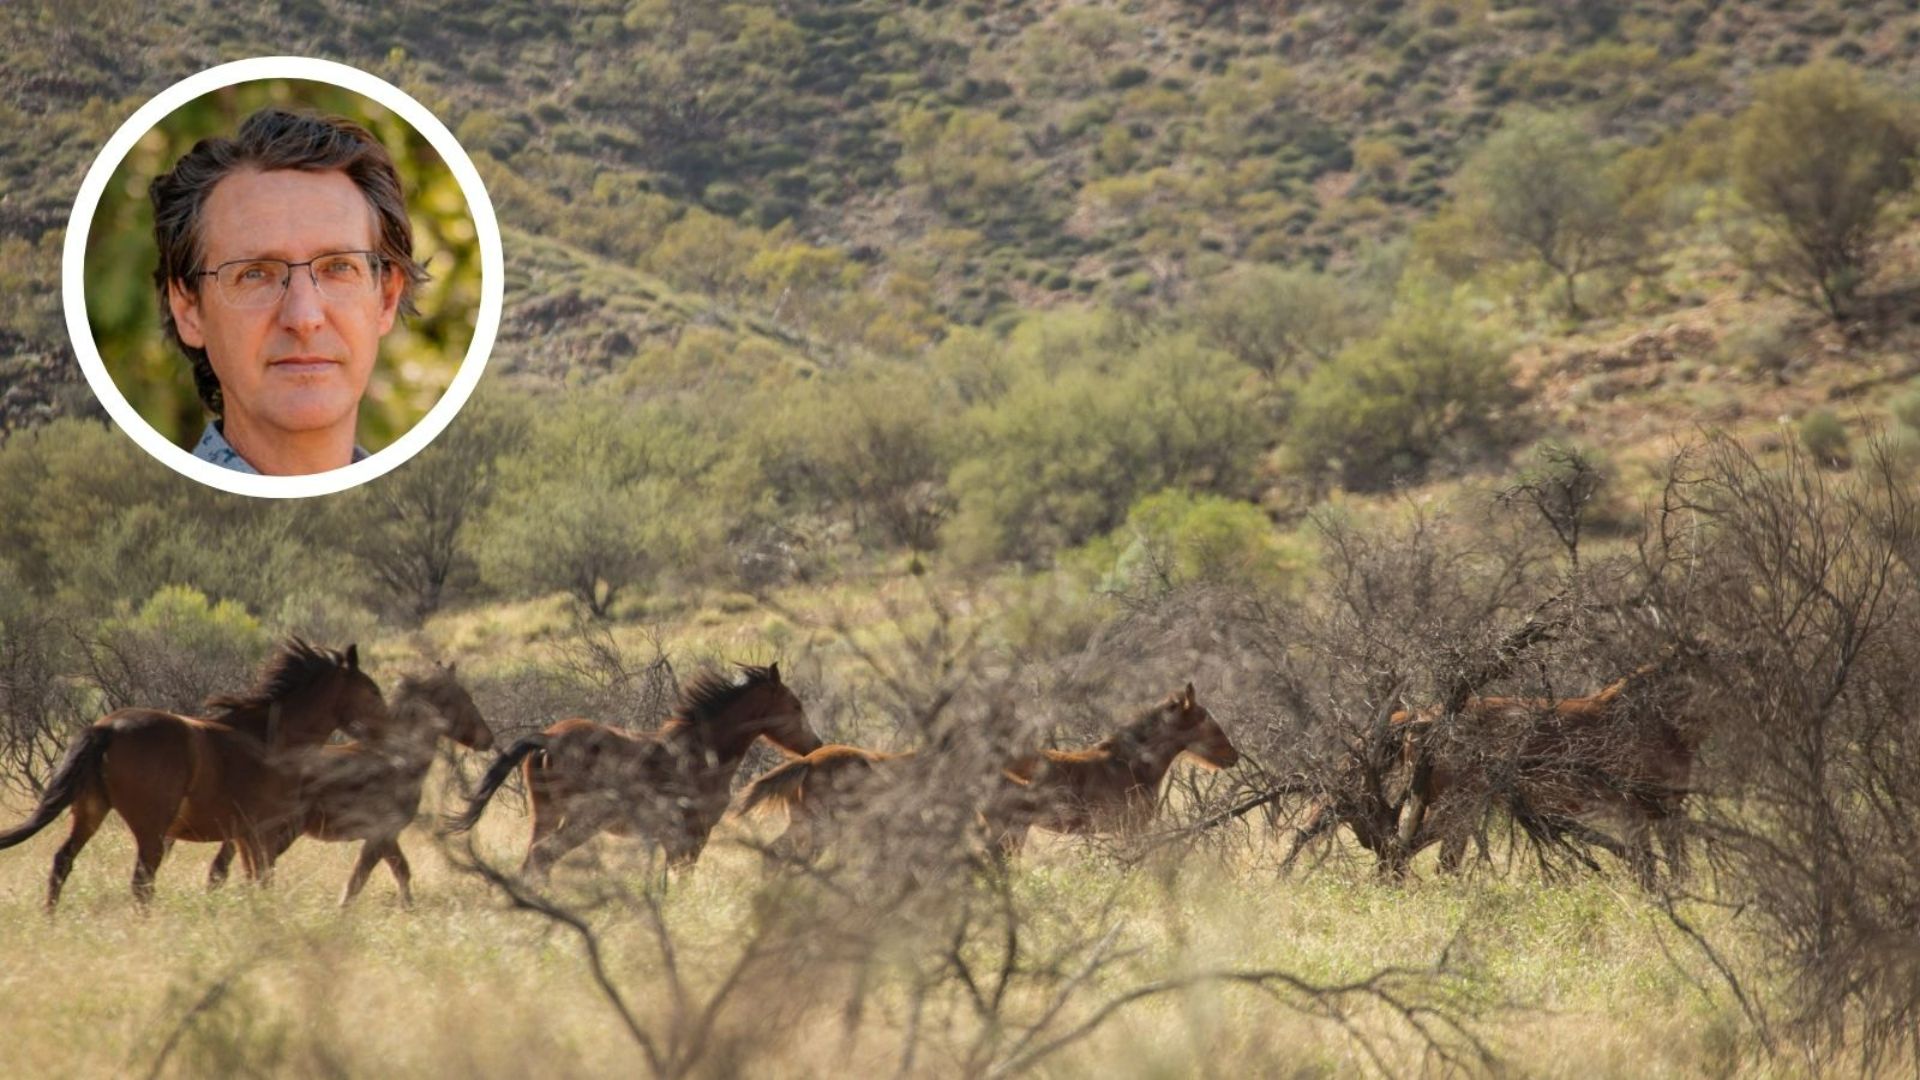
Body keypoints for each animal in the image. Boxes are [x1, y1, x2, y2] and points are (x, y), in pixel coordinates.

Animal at [0, 640, 386, 910]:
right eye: (372, 690)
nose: (388, 730)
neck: (272, 738)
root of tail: (104, 728)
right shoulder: (262, 831)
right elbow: (261, 880)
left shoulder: (243, 836)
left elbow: (243, 879)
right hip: (151, 828)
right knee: (141, 882)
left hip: (90, 810)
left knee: (62, 862)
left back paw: (51, 920)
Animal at [206, 661, 494, 907]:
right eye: (465, 698)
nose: (488, 739)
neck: (398, 759)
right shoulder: (381, 834)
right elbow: (361, 879)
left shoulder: (387, 837)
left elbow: (398, 871)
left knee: (222, 869)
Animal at [447, 662, 820, 882]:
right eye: (796, 705)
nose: (815, 745)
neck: (700, 753)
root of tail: (547, 738)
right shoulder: (692, 835)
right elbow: (682, 879)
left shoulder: (675, 839)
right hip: (583, 820)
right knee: (543, 856)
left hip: (546, 814)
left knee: (533, 861)